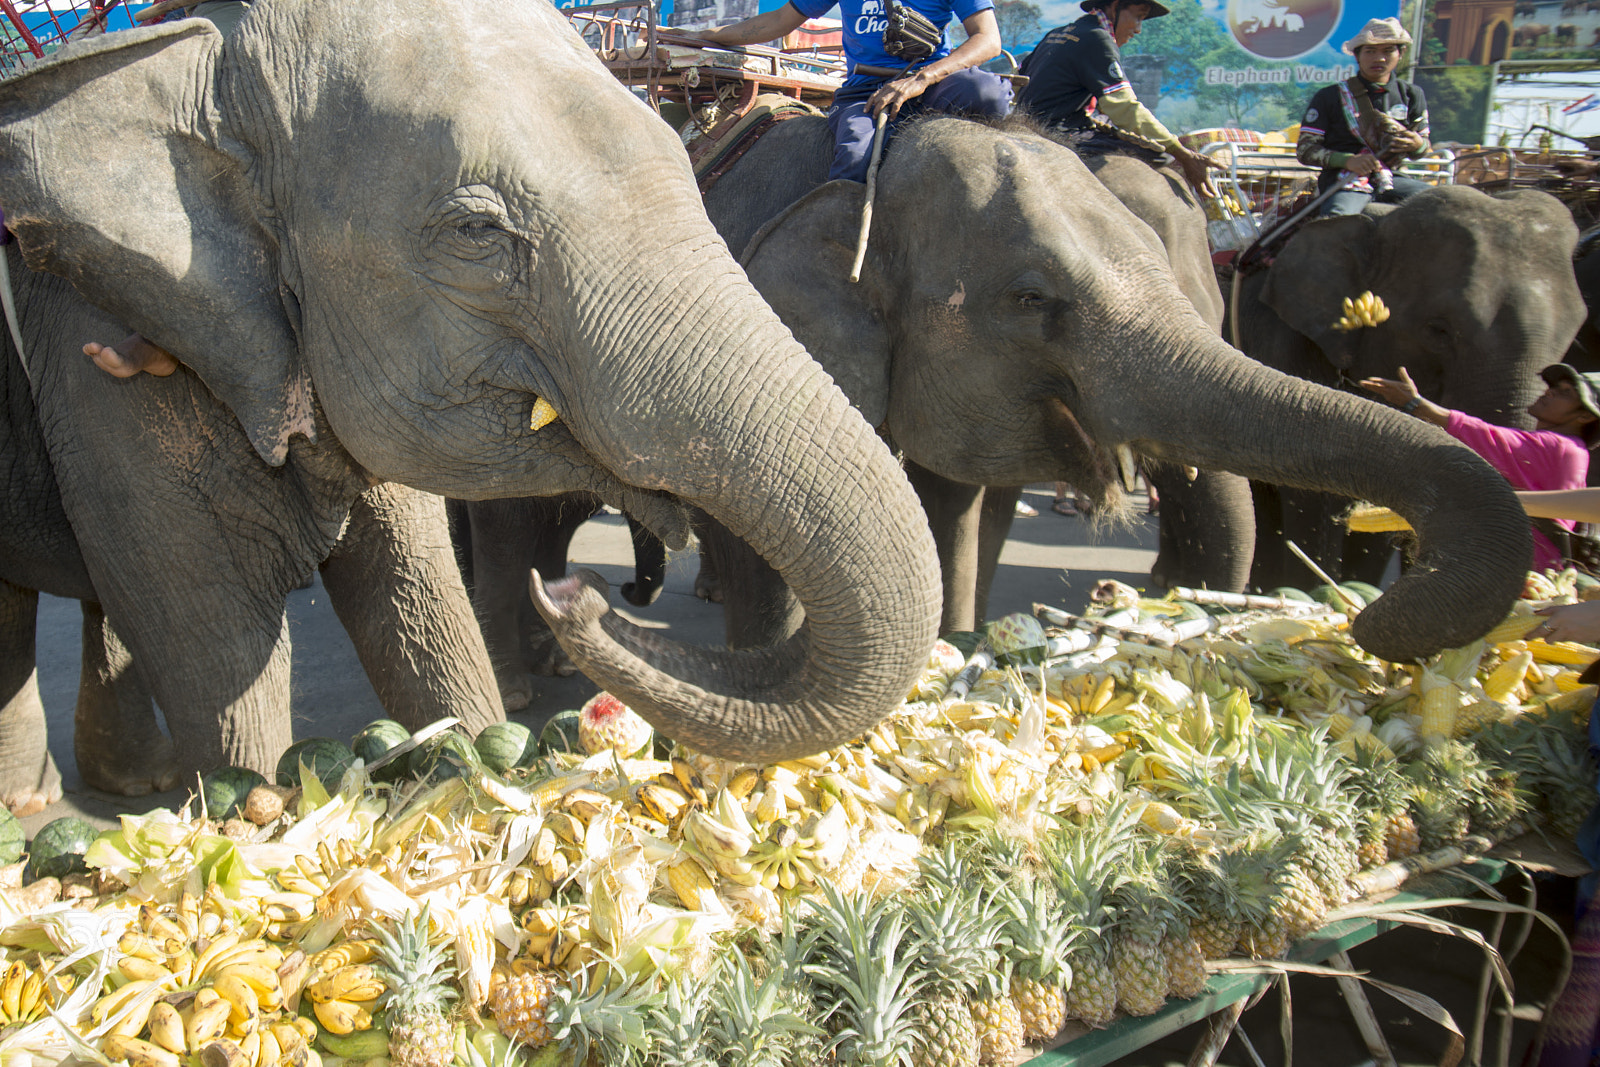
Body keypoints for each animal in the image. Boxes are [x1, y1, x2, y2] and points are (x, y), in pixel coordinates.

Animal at [0, 0, 943, 765]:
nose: (586, 593)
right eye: (474, 232)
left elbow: (420, 606)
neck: (201, 50)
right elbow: (216, 656)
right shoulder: (96, 358)